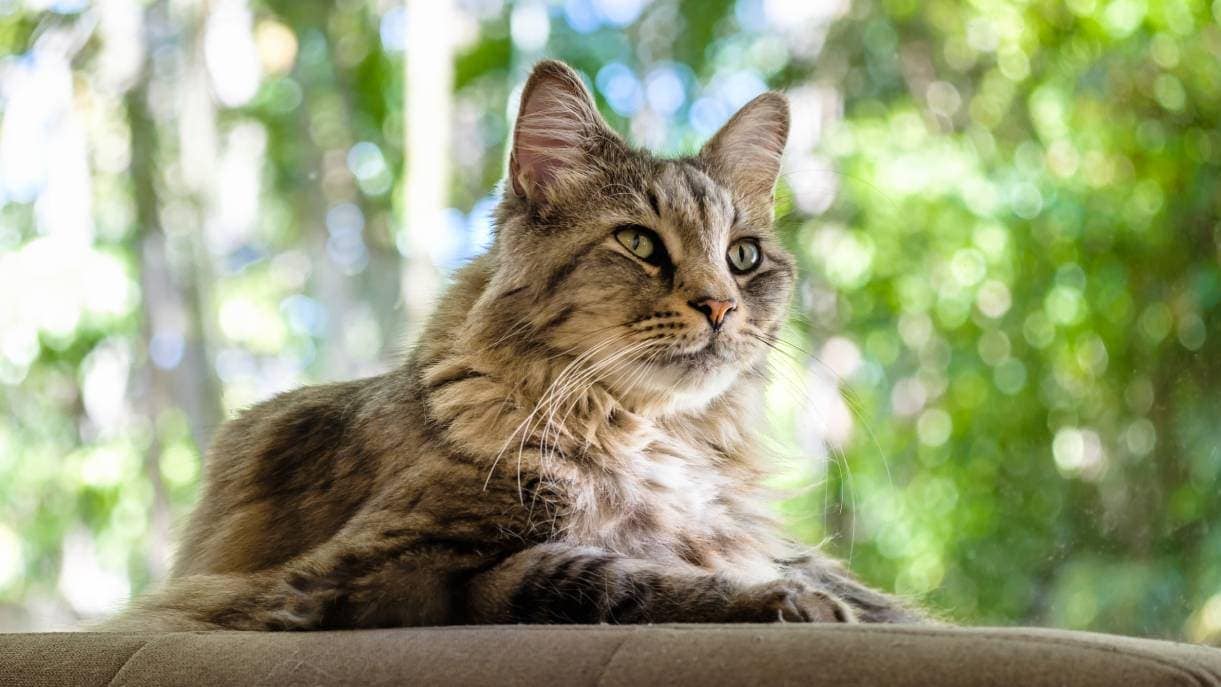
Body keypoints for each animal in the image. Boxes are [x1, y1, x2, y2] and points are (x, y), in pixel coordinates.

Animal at [105, 61, 923, 629]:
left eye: (744, 256)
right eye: (638, 243)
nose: (721, 306)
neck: (649, 437)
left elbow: (868, 594)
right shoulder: (369, 574)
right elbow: (607, 575)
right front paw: (784, 604)